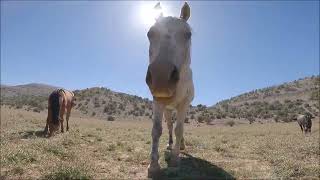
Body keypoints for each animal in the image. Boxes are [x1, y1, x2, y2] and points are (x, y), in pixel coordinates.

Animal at [146, 2, 195, 177]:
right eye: (150, 33)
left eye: (188, 34)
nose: (161, 77)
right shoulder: (157, 102)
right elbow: (157, 130)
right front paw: (153, 165)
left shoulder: (184, 104)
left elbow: (179, 129)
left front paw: (175, 159)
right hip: (168, 110)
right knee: (169, 126)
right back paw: (170, 144)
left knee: (179, 127)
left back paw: (180, 146)